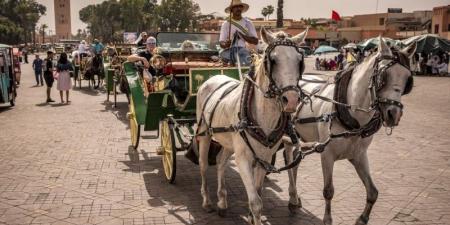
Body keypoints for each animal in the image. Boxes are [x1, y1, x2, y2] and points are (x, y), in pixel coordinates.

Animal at [197, 28, 310, 225]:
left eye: (299, 61)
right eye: (272, 60)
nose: (291, 100)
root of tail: (213, 77)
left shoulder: (264, 159)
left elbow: (258, 193)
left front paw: (251, 216)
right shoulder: (243, 160)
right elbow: (256, 202)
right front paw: (253, 214)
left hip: (228, 141)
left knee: (220, 161)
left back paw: (222, 201)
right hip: (204, 134)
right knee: (203, 165)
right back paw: (207, 201)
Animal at [284, 37, 416, 224]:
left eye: (407, 80)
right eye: (383, 77)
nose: (394, 114)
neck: (350, 113)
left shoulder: (359, 155)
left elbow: (373, 192)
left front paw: (362, 219)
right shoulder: (326, 154)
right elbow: (328, 191)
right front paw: (327, 219)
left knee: (295, 161)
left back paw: (295, 199)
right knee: (289, 160)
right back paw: (293, 197)